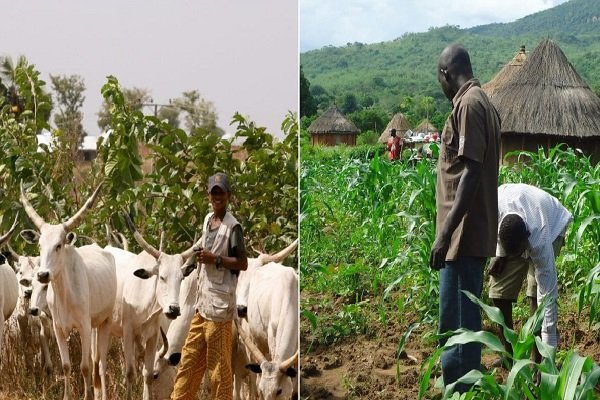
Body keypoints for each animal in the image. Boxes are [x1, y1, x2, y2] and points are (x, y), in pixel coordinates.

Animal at [20, 184, 116, 400]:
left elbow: (85, 366)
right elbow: (65, 366)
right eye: (40, 246)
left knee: (100, 362)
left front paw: (87, 396)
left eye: (59, 245)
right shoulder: (58, 328)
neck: (65, 294)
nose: (43, 274)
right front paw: (67, 396)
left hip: (104, 322)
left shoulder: (83, 327)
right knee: (95, 360)